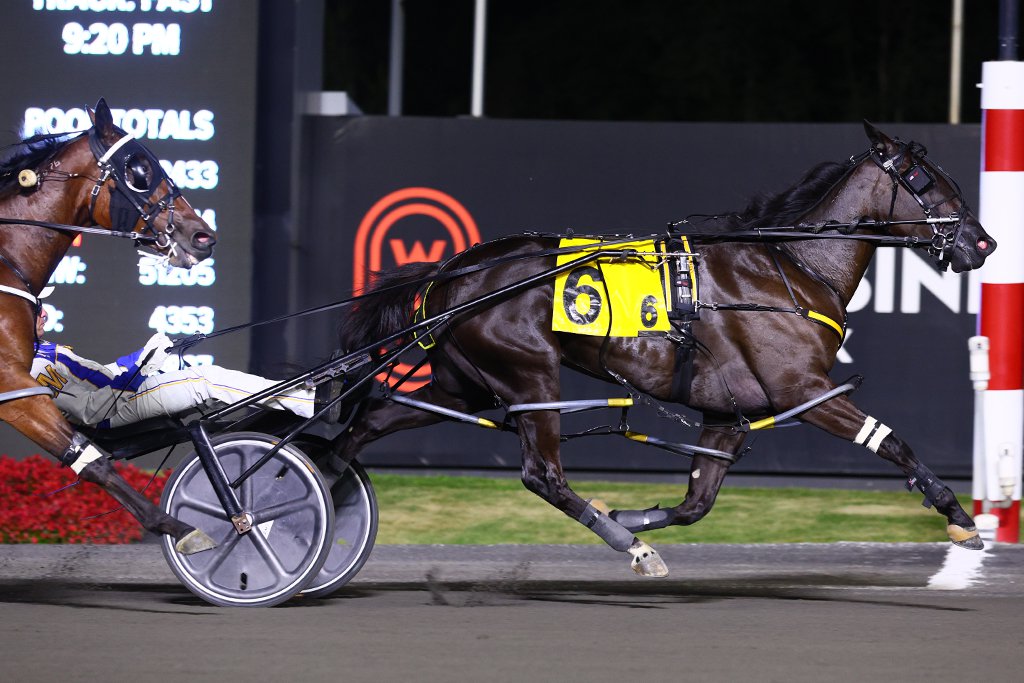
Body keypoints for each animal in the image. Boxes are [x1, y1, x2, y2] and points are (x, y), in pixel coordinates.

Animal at [337, 124, 999, 577]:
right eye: (927, 180)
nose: (983, 242)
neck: (790, 265)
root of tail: (451, 273)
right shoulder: (805, 391)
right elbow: (891, 441)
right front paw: (961, 517)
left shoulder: (726, 412)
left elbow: (697, 502)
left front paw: (630, 514)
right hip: (530, 377)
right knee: (542, 475)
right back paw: (631, 547)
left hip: (464, 382)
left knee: (366, 423)